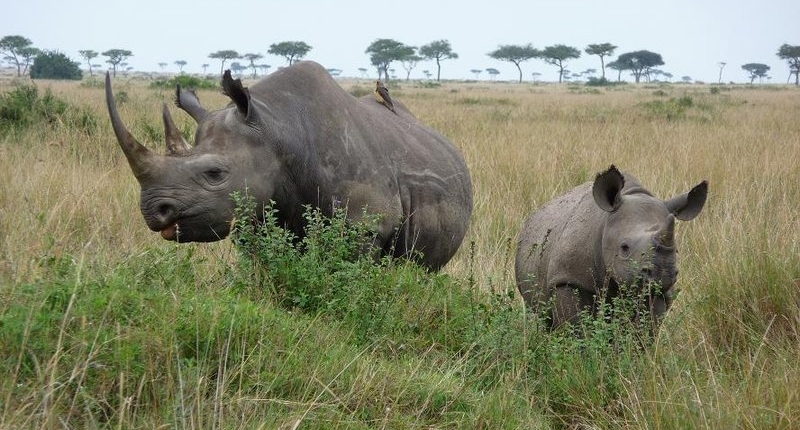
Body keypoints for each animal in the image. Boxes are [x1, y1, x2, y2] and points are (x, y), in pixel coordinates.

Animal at [515, 165, 708, 329]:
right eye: (624, 247)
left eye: (676, 251)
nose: (662, 275)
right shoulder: (567, 279)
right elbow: (575, 329)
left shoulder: (658, 294)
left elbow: (644, 332)